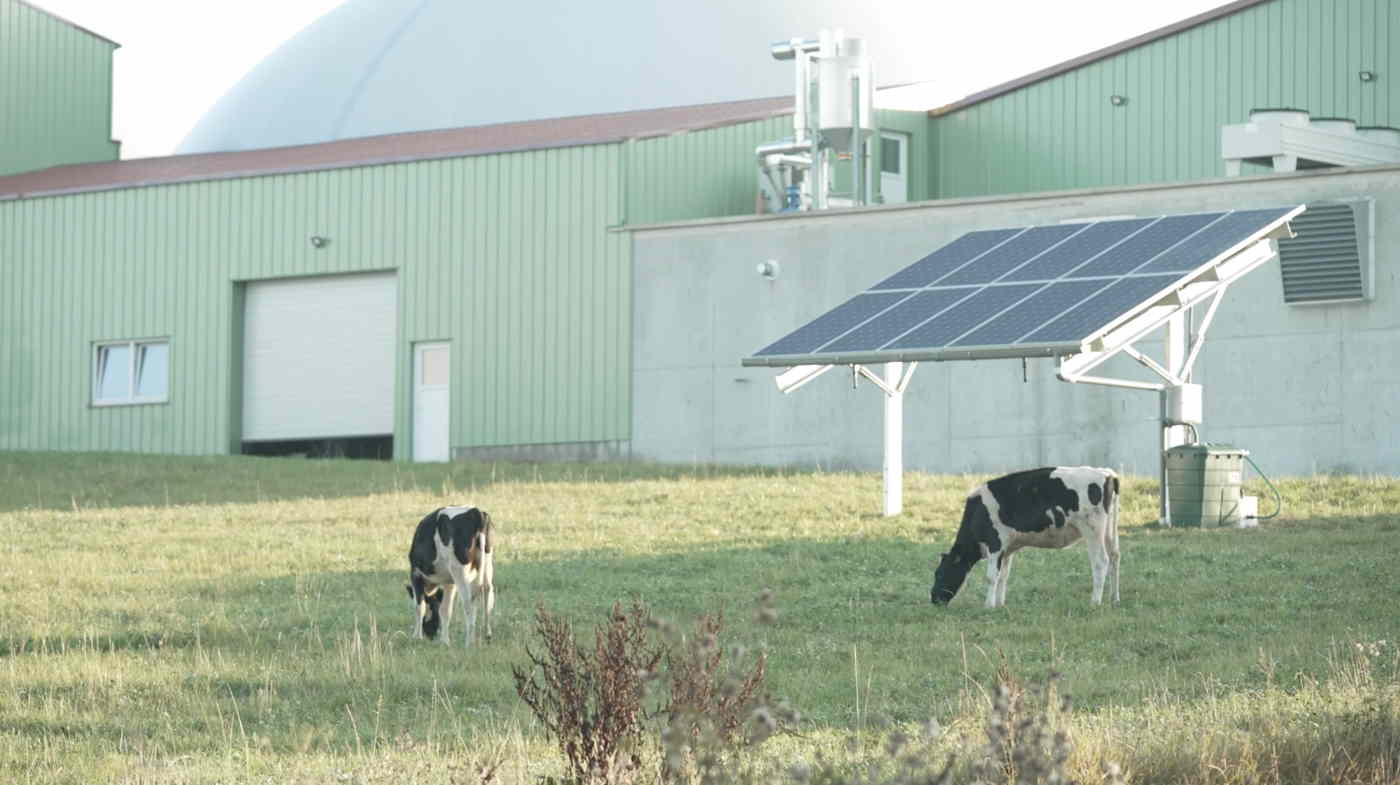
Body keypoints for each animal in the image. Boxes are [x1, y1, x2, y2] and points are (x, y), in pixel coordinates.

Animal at [406, 503, 498, 646]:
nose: (430, 635)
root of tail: (474, 511)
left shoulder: (416, 574)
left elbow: (419, 607)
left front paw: (417, 637)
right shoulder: (449, 582)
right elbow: (445, 610)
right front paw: (445, 641)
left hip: (460, 570)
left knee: (469, 601)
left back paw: (469, 642)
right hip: (487, 562)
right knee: (487, 592)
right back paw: (487, 635)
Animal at [935, 464, 1120, 607]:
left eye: (939, 573)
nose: (933, 598)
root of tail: (1106, 473)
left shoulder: (995, 544)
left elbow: (991, 577)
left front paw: (988, 605)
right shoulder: (1007, 548)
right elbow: (1003, 576)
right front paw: (1000, 604)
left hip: (1092, 529)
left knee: (1100, 562)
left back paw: (1095, 602)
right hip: (1109, 530)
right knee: (1114, 557)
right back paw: (1114, 599)